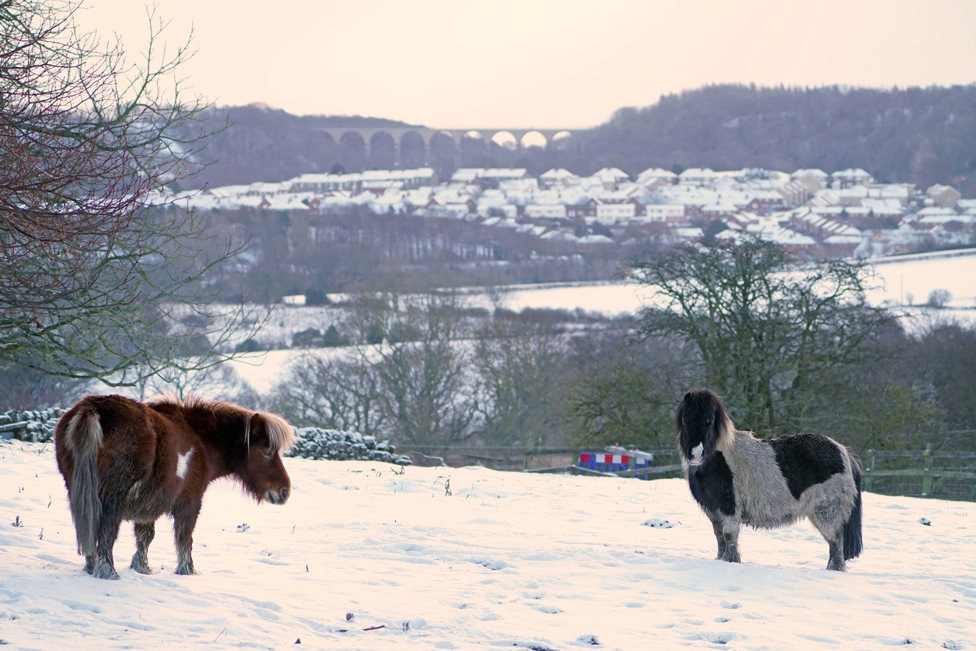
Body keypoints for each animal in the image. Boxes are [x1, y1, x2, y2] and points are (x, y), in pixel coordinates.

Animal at [53, 392, 296, 580]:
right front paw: (186, 571)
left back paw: (92, 567)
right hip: (112, 500)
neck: (200, 439)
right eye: (267, 452)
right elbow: (184, 538)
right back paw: (107, 572)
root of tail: (93, 408)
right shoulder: (190, 503)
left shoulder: (148, 503)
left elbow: (145, 536)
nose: (284, 491)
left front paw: (142, 568)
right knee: (106, 534)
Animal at [680, 388, 860, 572]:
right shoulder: (713, 511)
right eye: (685, 421)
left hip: (827, 513)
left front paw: (730, 562)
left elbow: (729, 536)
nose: (696, 455)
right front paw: (720, 560)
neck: (720, 459)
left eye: (709, 421)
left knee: (835, 544)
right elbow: (719, 538)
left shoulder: (730, 508)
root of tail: (843, 451)